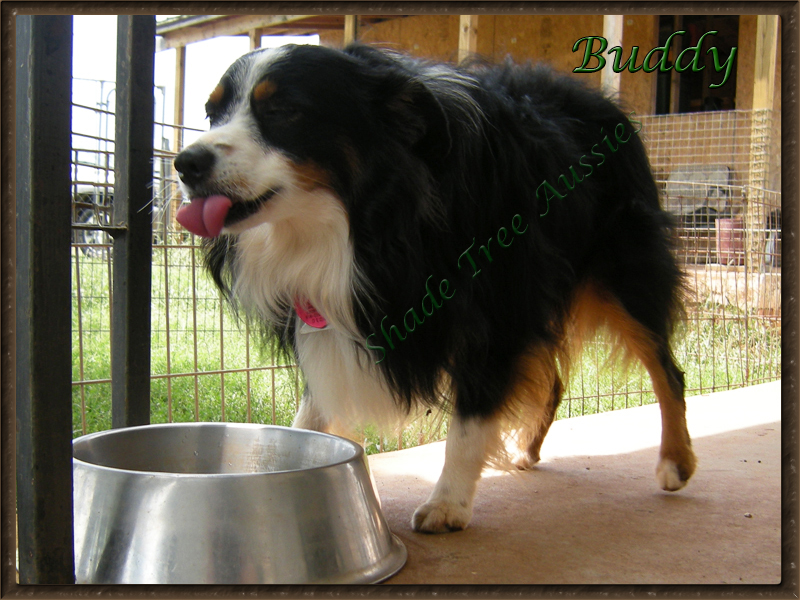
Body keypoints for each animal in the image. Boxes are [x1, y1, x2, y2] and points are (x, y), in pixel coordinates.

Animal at [173, 45, 692, 536]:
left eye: (283, 110)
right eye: (212, 113)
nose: (185, 163)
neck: (364, 224)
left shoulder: (496, 297)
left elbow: (472, 413)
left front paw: (447, 505)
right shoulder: (325, 307)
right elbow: (314, 406)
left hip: (623, 265)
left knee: (665, 366)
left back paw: (676, 461)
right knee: (554, 377)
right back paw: (527, 449)